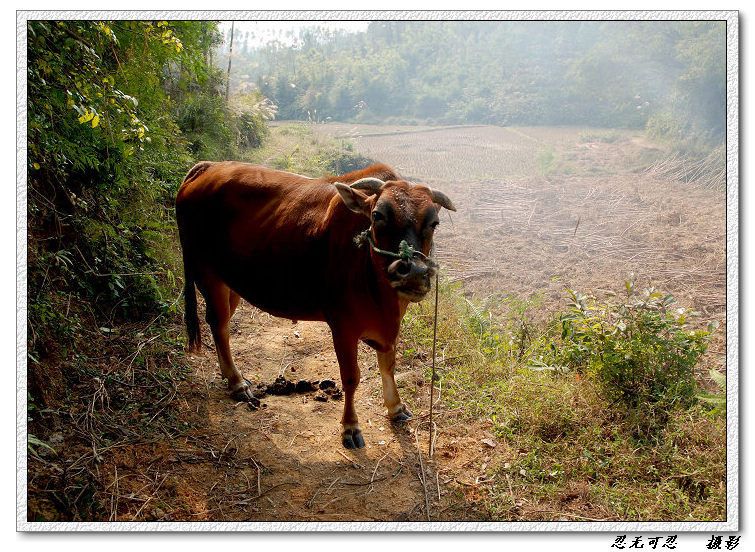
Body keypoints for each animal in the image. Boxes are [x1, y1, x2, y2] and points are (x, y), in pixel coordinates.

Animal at [177, 162, 454, 446]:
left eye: (434, 223)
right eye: (377, 215)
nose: (413, 273)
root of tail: (208, 167)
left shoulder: (388, 329)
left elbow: (388, 365)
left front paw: (396, 407)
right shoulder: (342, 327)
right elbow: (351, 377)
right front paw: (350, 426)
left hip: (231, 281)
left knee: (219, 324)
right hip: (207, 273)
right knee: (219, 324)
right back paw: (236, 382)